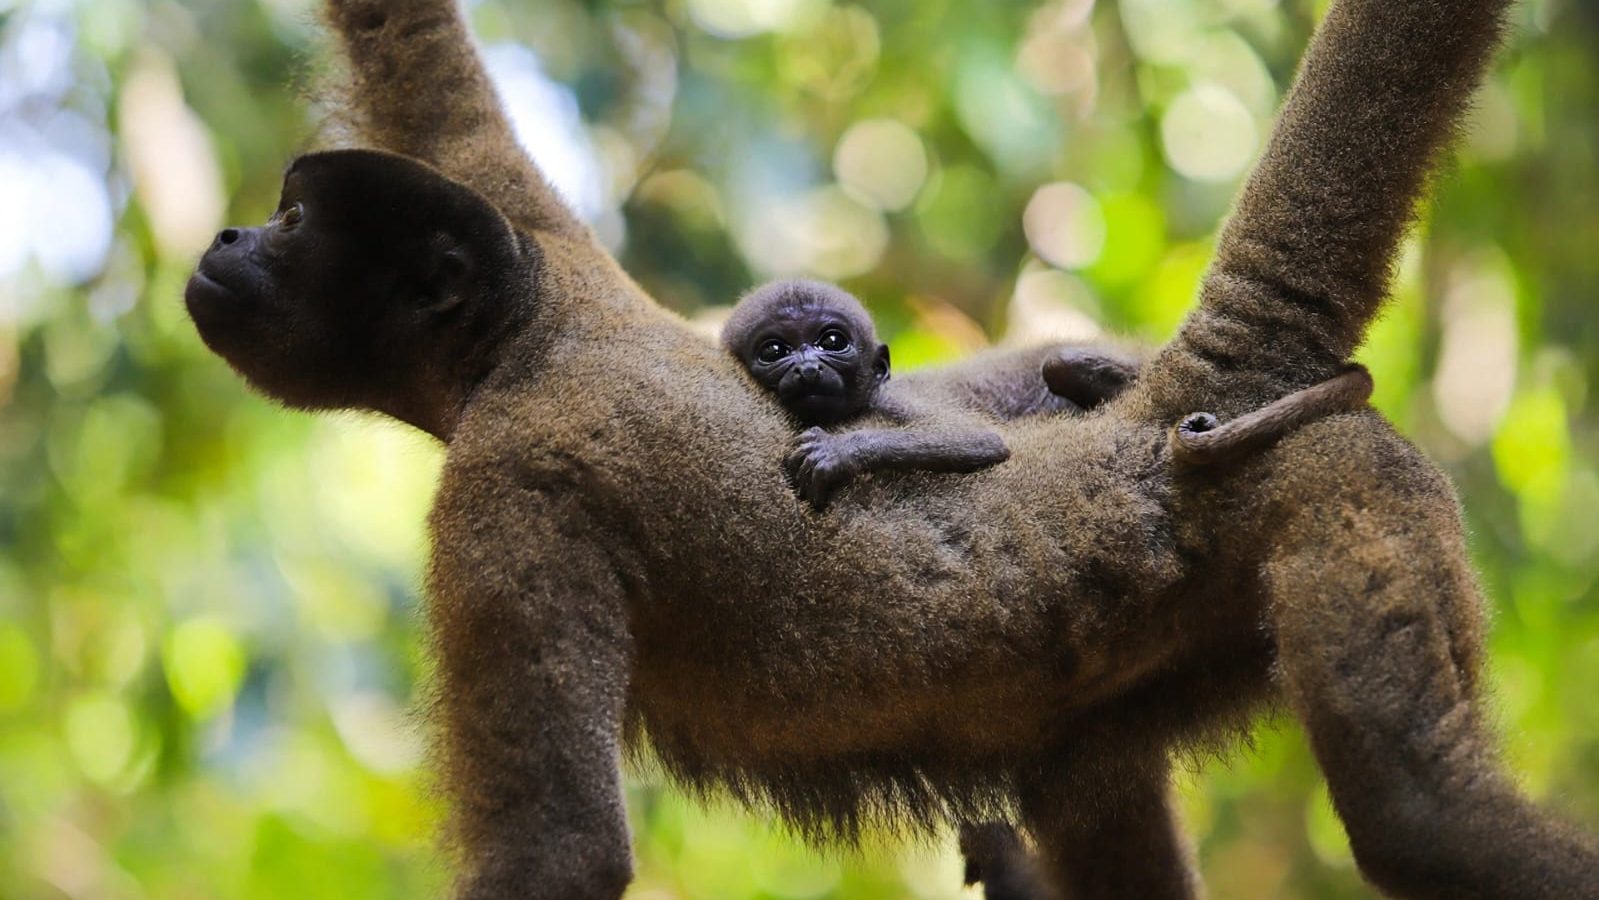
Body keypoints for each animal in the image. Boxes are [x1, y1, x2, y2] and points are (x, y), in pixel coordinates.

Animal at [185, 2, 1599, 900]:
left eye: (296, 223)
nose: (226, 240)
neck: (523, 340)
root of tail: (1172, 419)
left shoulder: (511, 482)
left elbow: (560, 855)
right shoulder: (534, 230)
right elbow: (419, 54)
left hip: (1335, 473)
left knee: (1423, 816)